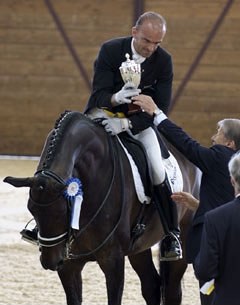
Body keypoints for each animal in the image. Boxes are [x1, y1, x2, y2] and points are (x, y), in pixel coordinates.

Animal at [3, 110, 201, 302]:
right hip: (139, 248)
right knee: (151, 286)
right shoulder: (69, 264)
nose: (50, 262)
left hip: (182, 239)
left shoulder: (113, 259)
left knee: (172, 291)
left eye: (63, 211)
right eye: (32, 210)